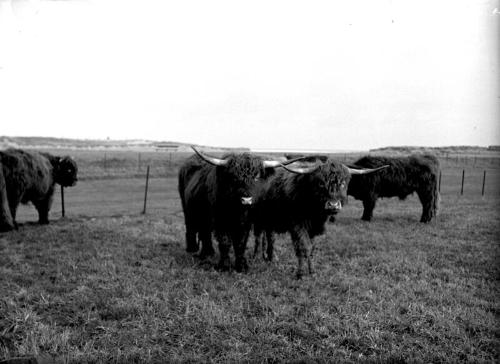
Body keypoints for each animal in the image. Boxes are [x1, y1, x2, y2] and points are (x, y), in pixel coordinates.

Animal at [254, 159, 386, 278]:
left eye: (343, 183)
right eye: (321, 183)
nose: (333, 205)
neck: (314, 210)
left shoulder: (314, 228)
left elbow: (312, 249)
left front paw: (312, 272)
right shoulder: (297, 226)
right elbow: (304, 247)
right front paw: (300, 274)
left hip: (270, 221)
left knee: (270, 237)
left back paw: (271, 258)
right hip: (259, 219)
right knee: (260, 236)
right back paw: (258, 256)